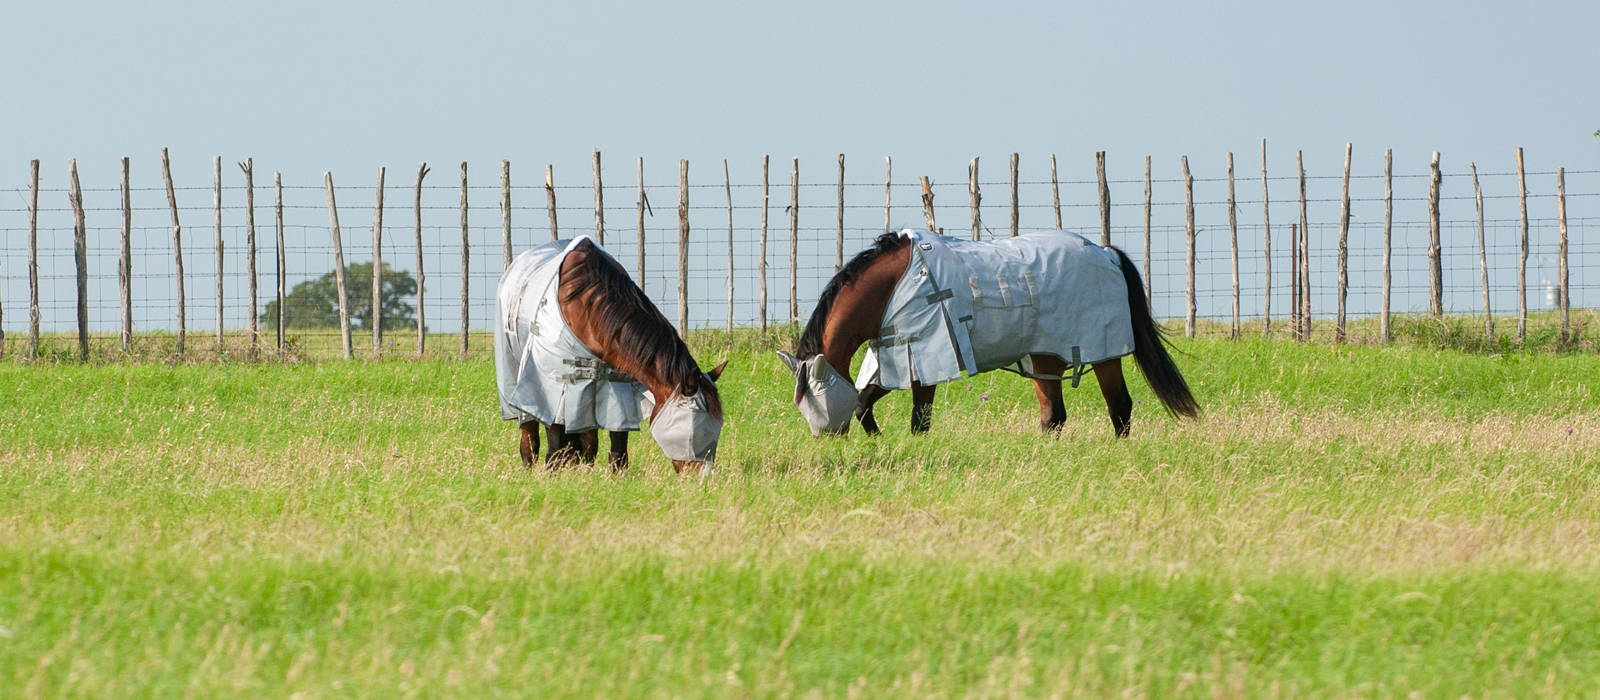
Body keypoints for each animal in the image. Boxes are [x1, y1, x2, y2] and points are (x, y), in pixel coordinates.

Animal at [495, 236, 726, 474]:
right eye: (695, 427)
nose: (703, 477)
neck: (586, 306)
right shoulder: (554, 386)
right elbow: (555, 447)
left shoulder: (615, 387)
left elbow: (616, 447)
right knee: (529, 438)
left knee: (587, 441)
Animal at [777, 229, 1198, 438]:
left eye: (816, 400)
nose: (829, 439)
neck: (897, 284)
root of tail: (1106, 253)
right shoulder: (897, 354)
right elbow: (864, 403)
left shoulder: (927, 359)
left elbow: (919, 420)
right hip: (1044, 356)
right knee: (1054, 416)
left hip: (1102, 352)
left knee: (1120, 407)